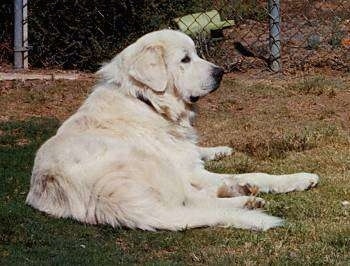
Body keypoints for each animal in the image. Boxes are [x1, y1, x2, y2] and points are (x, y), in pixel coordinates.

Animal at [26, 30, 318, 231]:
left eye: (197, 54)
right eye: (185, 60)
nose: (221, 72)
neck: (147, 101)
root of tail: (104, 198)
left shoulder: (188, 156)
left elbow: (218, 159)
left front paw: (222, 152)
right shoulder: (188, 169)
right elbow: (250, 174)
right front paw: (294, 179)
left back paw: (239, 190)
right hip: (150, 162)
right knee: (191, 199)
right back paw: (244, 200)